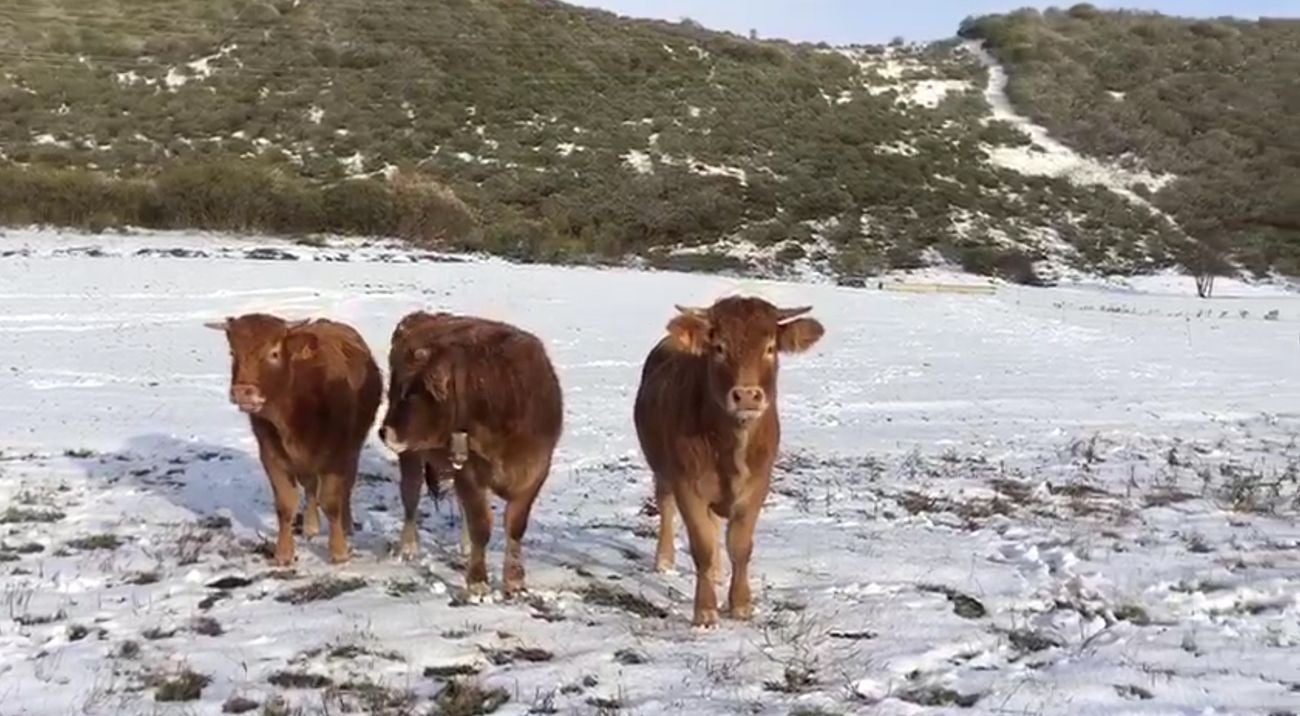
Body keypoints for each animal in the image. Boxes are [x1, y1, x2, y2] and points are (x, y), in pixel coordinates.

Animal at [204, 314, 379, 566]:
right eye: (232, 352)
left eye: (275, 353)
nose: (243, 392)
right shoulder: (271, 455)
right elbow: (286, 504)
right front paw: (284, 552)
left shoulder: (336, 455)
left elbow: (332, 501)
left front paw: (339, 551)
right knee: (311, 487)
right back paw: (311, 526)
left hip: (353, 448)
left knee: (346, 487)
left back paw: (346, 525)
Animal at [374, 310, 561, 597]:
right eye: (399, 392)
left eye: (414, 395)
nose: (384, 432)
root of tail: (422, 315)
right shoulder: (470, 473)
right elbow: (481, 526)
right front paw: (477, 583)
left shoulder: (536, 472)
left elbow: (515, 526)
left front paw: (514, 580)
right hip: (412, 457)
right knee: (411, 499)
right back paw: (408, 548)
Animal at [634, 297, 826, 628]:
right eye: (720, 348)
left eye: (770, 347)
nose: (747, 395)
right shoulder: (687, 483)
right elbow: (702, 545)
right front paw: (705, 611)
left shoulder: (758, 485)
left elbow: (739, 546)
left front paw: (741, 604)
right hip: (661, 469)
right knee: (666, 506)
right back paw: (665, 560)